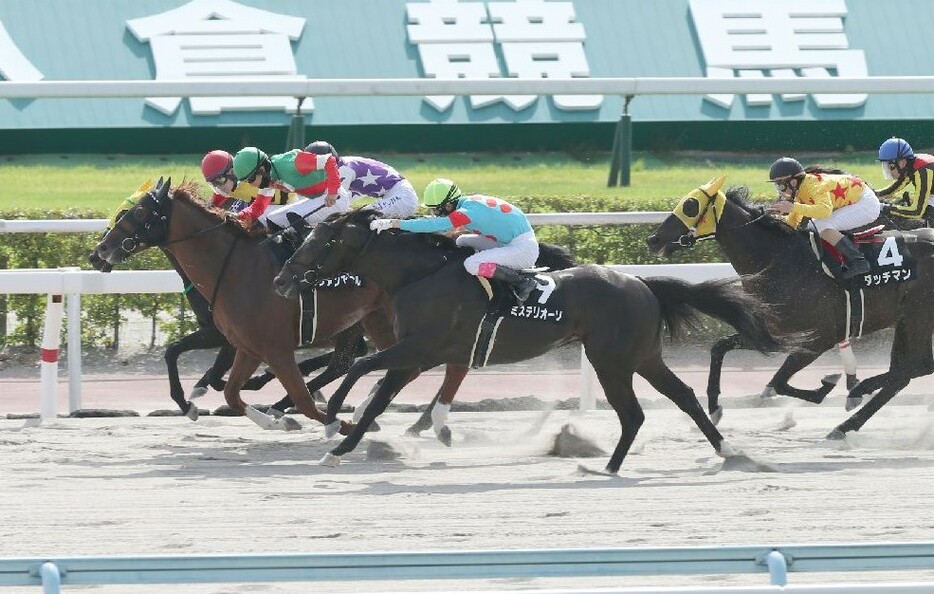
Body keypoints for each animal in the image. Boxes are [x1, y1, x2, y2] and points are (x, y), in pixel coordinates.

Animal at [274, 208, 788, 472]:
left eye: (322, 242)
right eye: (309, 237)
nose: (282, 280)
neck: (418, 276)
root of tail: (641, 282)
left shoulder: (419, 349)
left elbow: (362, 368)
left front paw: (330, 420)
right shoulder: (415, 356)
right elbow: (378, 397)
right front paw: (340, 445)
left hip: (612, 359)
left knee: (633, 413)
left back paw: (607, 466)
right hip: (642, 356)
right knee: (682, 395)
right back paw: (725, 450)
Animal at [648, 173, 934, 438]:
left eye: (690, 205)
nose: (653, 239)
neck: (781, 261)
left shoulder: (818, 339)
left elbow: (780, 381)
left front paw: (827, 385)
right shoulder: (773, 331)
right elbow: (721, 349)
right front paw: (715, 407)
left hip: (918, 315)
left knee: (911, 368)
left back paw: (852, 407)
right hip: (906, 319)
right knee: (907, 371)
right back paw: (851, 410)